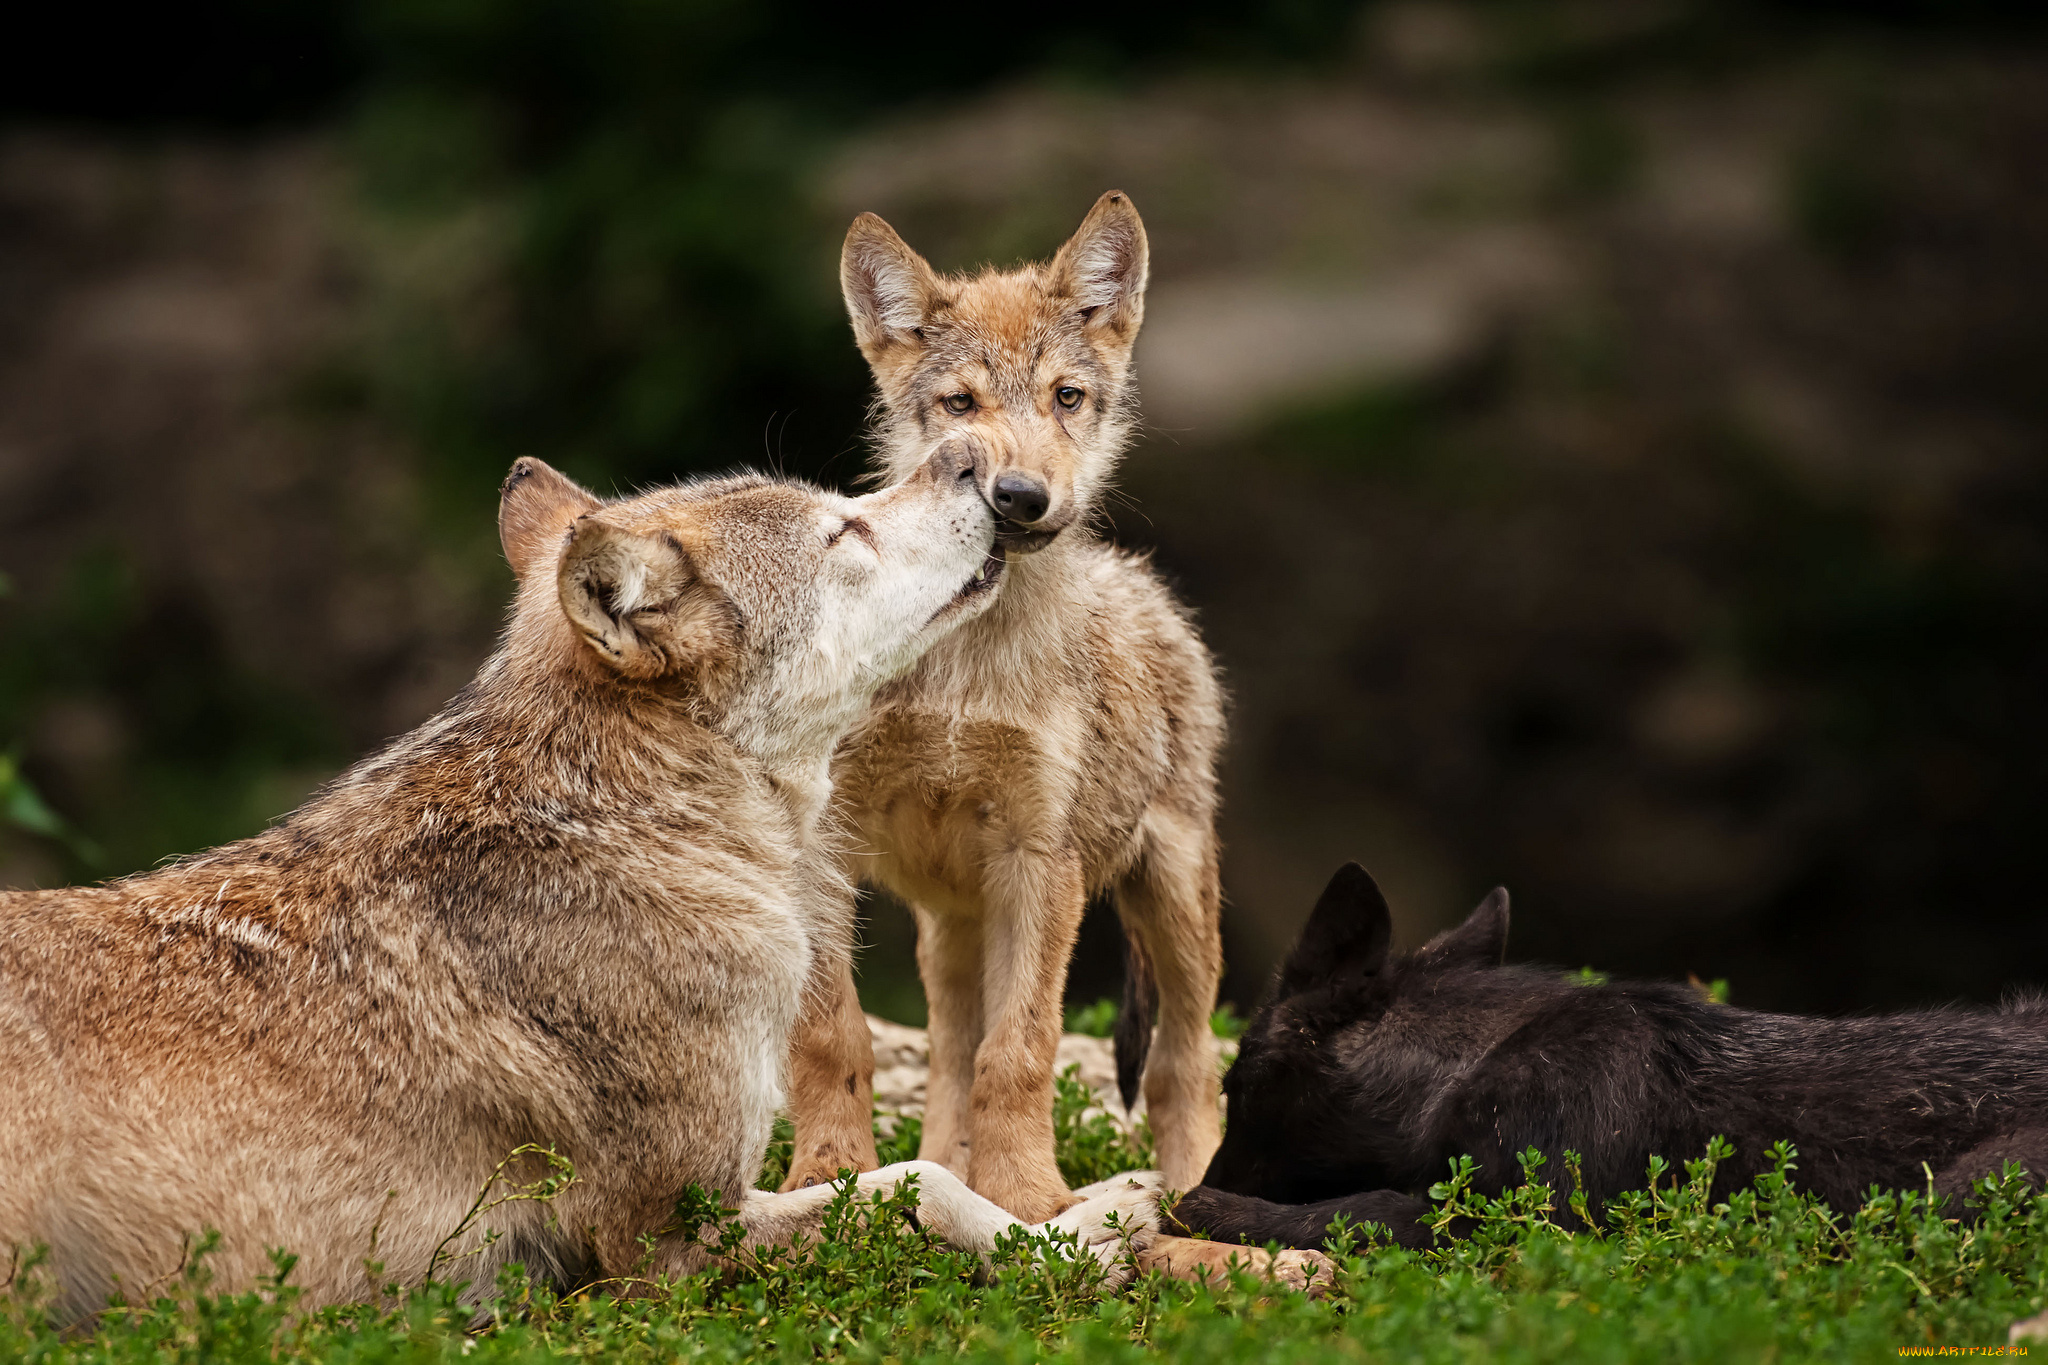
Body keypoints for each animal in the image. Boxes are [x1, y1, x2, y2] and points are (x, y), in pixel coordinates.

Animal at [0, 448, 1163, 1326]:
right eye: (845, 531)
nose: (970, 458)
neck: (634, 831)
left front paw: (1107, 1208)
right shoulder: (658, 1241)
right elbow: (917, 1188)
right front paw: (1088, 1239)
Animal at [778, 189, 1220, 1219]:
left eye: (1066, 397)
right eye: (961, 405)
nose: (1018, 496)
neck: (962, 664)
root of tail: (1143, 586)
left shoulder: (1040, 858)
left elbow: (1021, 1052)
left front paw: (1027, 1201)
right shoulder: (824, 849)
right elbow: (835, 1036)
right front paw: (826, 1175)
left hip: (1173, 900)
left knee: (1186, 1068)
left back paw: (1194, 1194)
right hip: (954, 926)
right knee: (948, 1057)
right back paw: (937, 1177)